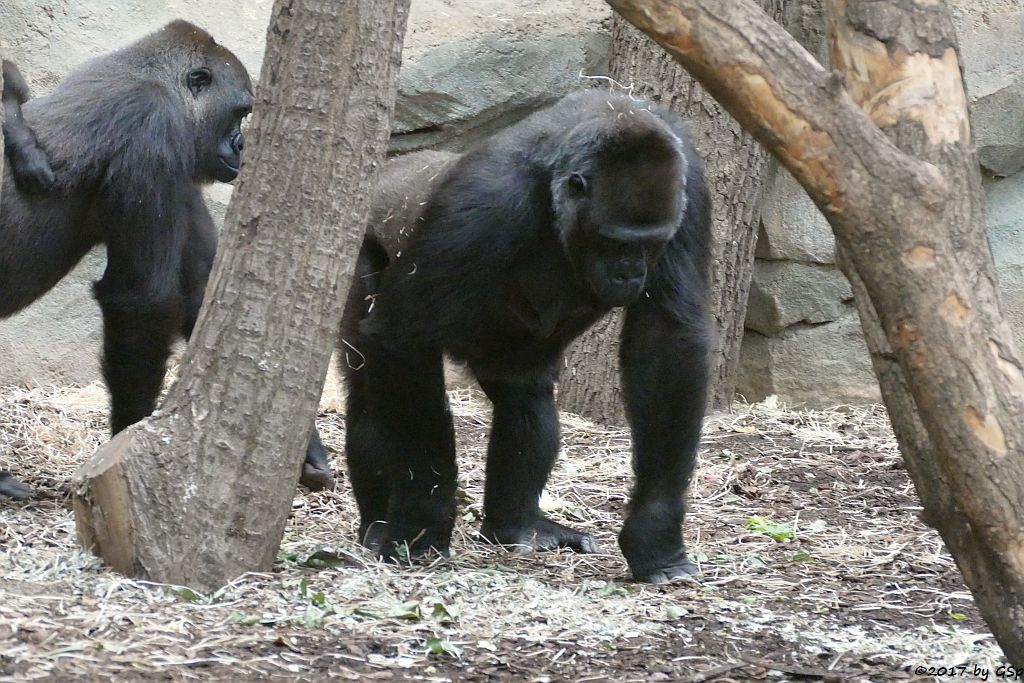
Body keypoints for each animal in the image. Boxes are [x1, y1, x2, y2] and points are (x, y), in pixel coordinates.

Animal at [0, 21, 333, 499]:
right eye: (239, 112)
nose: (242, 145)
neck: (150, 75)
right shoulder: (155, 130)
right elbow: (143, 301)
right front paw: (127, 442)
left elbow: (205, 298)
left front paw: (304, 445)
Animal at [339, 89, 708, 581]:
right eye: (615, 242)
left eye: (650, 244)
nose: (631, 274)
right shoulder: (485, 204)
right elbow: (401, 337)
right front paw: (421, 524)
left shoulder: (690, 184)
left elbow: (667, 339)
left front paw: (656, 531)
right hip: (360, 246)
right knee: (368, 391)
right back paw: (379, 524)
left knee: (524, 397)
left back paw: (517, 525)